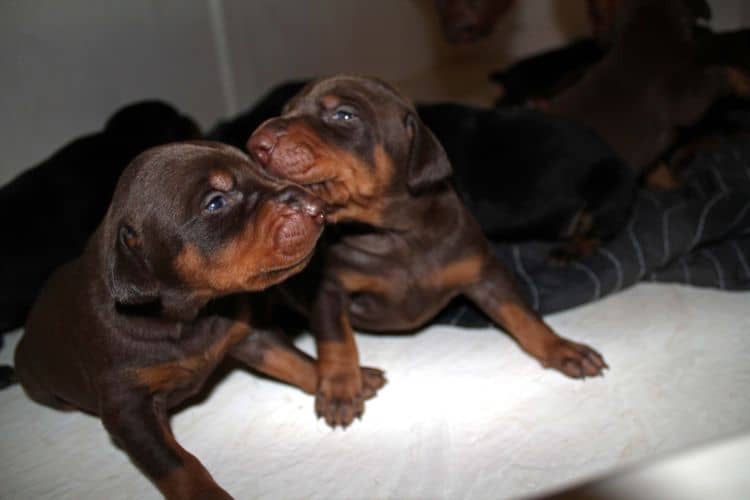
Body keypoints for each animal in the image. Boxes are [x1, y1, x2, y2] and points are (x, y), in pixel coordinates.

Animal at [13, 143, 382, 498]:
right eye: (215, 203)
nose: (318, 207)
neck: (190, 312)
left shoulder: (246, 335)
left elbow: (293, 359)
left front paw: (346, 382)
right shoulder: (128, 405)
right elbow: (175, 463)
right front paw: (208, 495)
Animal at [250, 76, 608, 428]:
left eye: (344, 115)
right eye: (286, 111)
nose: (257, 144)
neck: (392, 234)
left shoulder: (483, 271)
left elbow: (521, 314)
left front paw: (561, 348)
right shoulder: (327, 290)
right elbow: (336, 338)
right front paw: (340, 386)